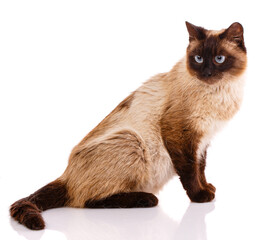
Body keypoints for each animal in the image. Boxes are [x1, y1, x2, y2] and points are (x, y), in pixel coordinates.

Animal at [10, 21, 248, 230]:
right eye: (198, 58)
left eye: (219, 59)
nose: (207, 73)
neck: (220, 93)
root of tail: (66, 176)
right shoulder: (181, 133)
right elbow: (190, 171)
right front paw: (200, 196)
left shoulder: (203, 139)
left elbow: (201, 168)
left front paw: (207, 188)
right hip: (131, 140)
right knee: (86, 201)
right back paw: (147, 199)